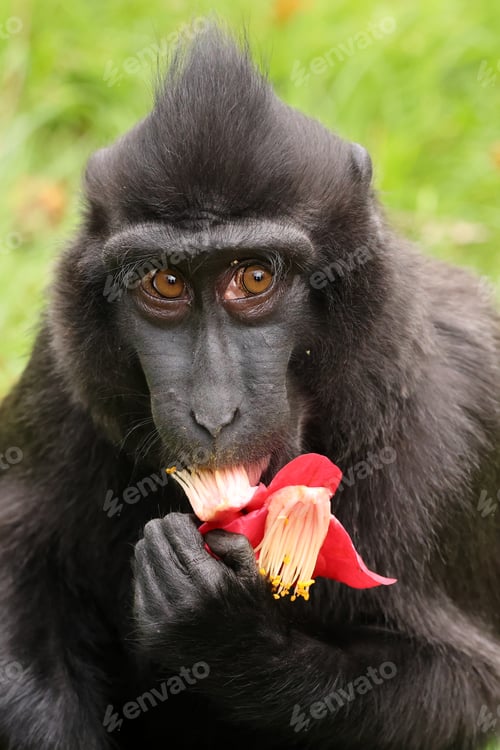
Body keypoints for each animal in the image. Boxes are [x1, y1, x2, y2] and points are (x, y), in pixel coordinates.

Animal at [0, 23, 499, 750]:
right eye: (166, 282)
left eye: (256, 277)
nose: (213, 413)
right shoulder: (64, 371)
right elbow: (18, 569)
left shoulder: (434, 444)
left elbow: (467, 688)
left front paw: (225, 632)